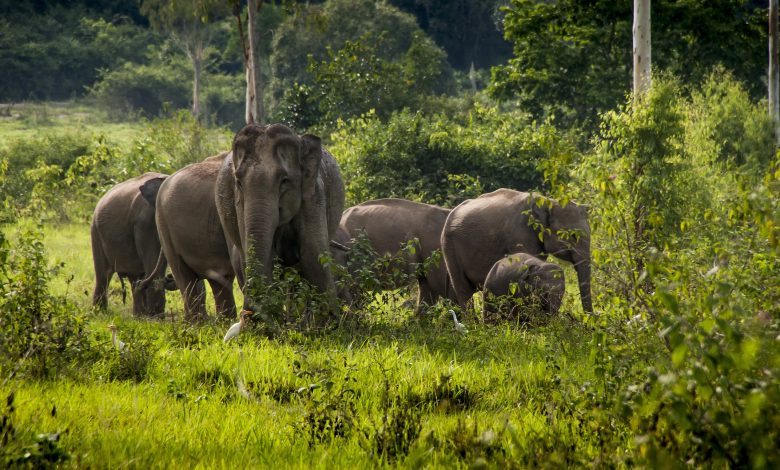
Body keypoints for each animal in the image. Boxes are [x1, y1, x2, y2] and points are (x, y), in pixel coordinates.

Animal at [90, 172, 175, 316]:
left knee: (134, 276)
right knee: (103, 274)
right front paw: (156, 316)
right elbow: (154, 262)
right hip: (95, 232)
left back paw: (138, 314)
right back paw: (99, 312)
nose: (169, 278)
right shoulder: (143, 224)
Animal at [215, 123, 346, 314]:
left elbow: (313, 255)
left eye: (284, 181)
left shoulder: (313, 196)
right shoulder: (239, 204)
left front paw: (332, 319)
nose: (247, 314)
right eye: (238, 182)